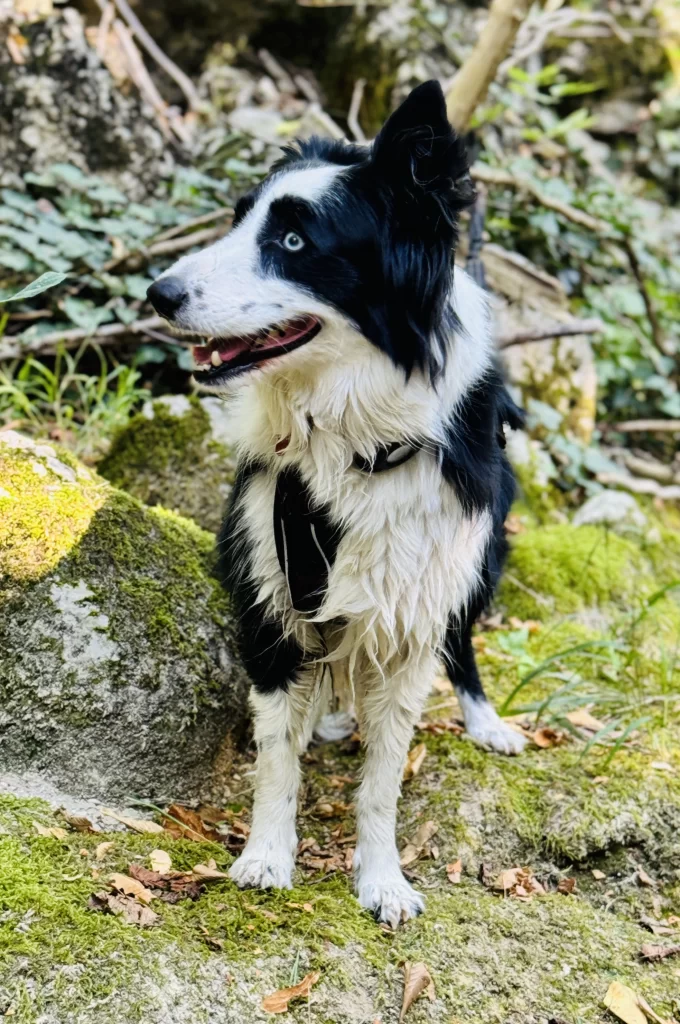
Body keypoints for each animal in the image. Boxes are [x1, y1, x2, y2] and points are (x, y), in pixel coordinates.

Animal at [146, 79, 524, 929]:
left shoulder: (419, 599)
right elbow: (275, 758)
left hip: (480, 558)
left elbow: (383, 779)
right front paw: (266, 856)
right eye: (240, 218)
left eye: (293, 241)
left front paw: (382, 878)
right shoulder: (270, 591)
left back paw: (486, 722)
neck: (352, 433)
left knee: (463, 640)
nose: (157, 292)